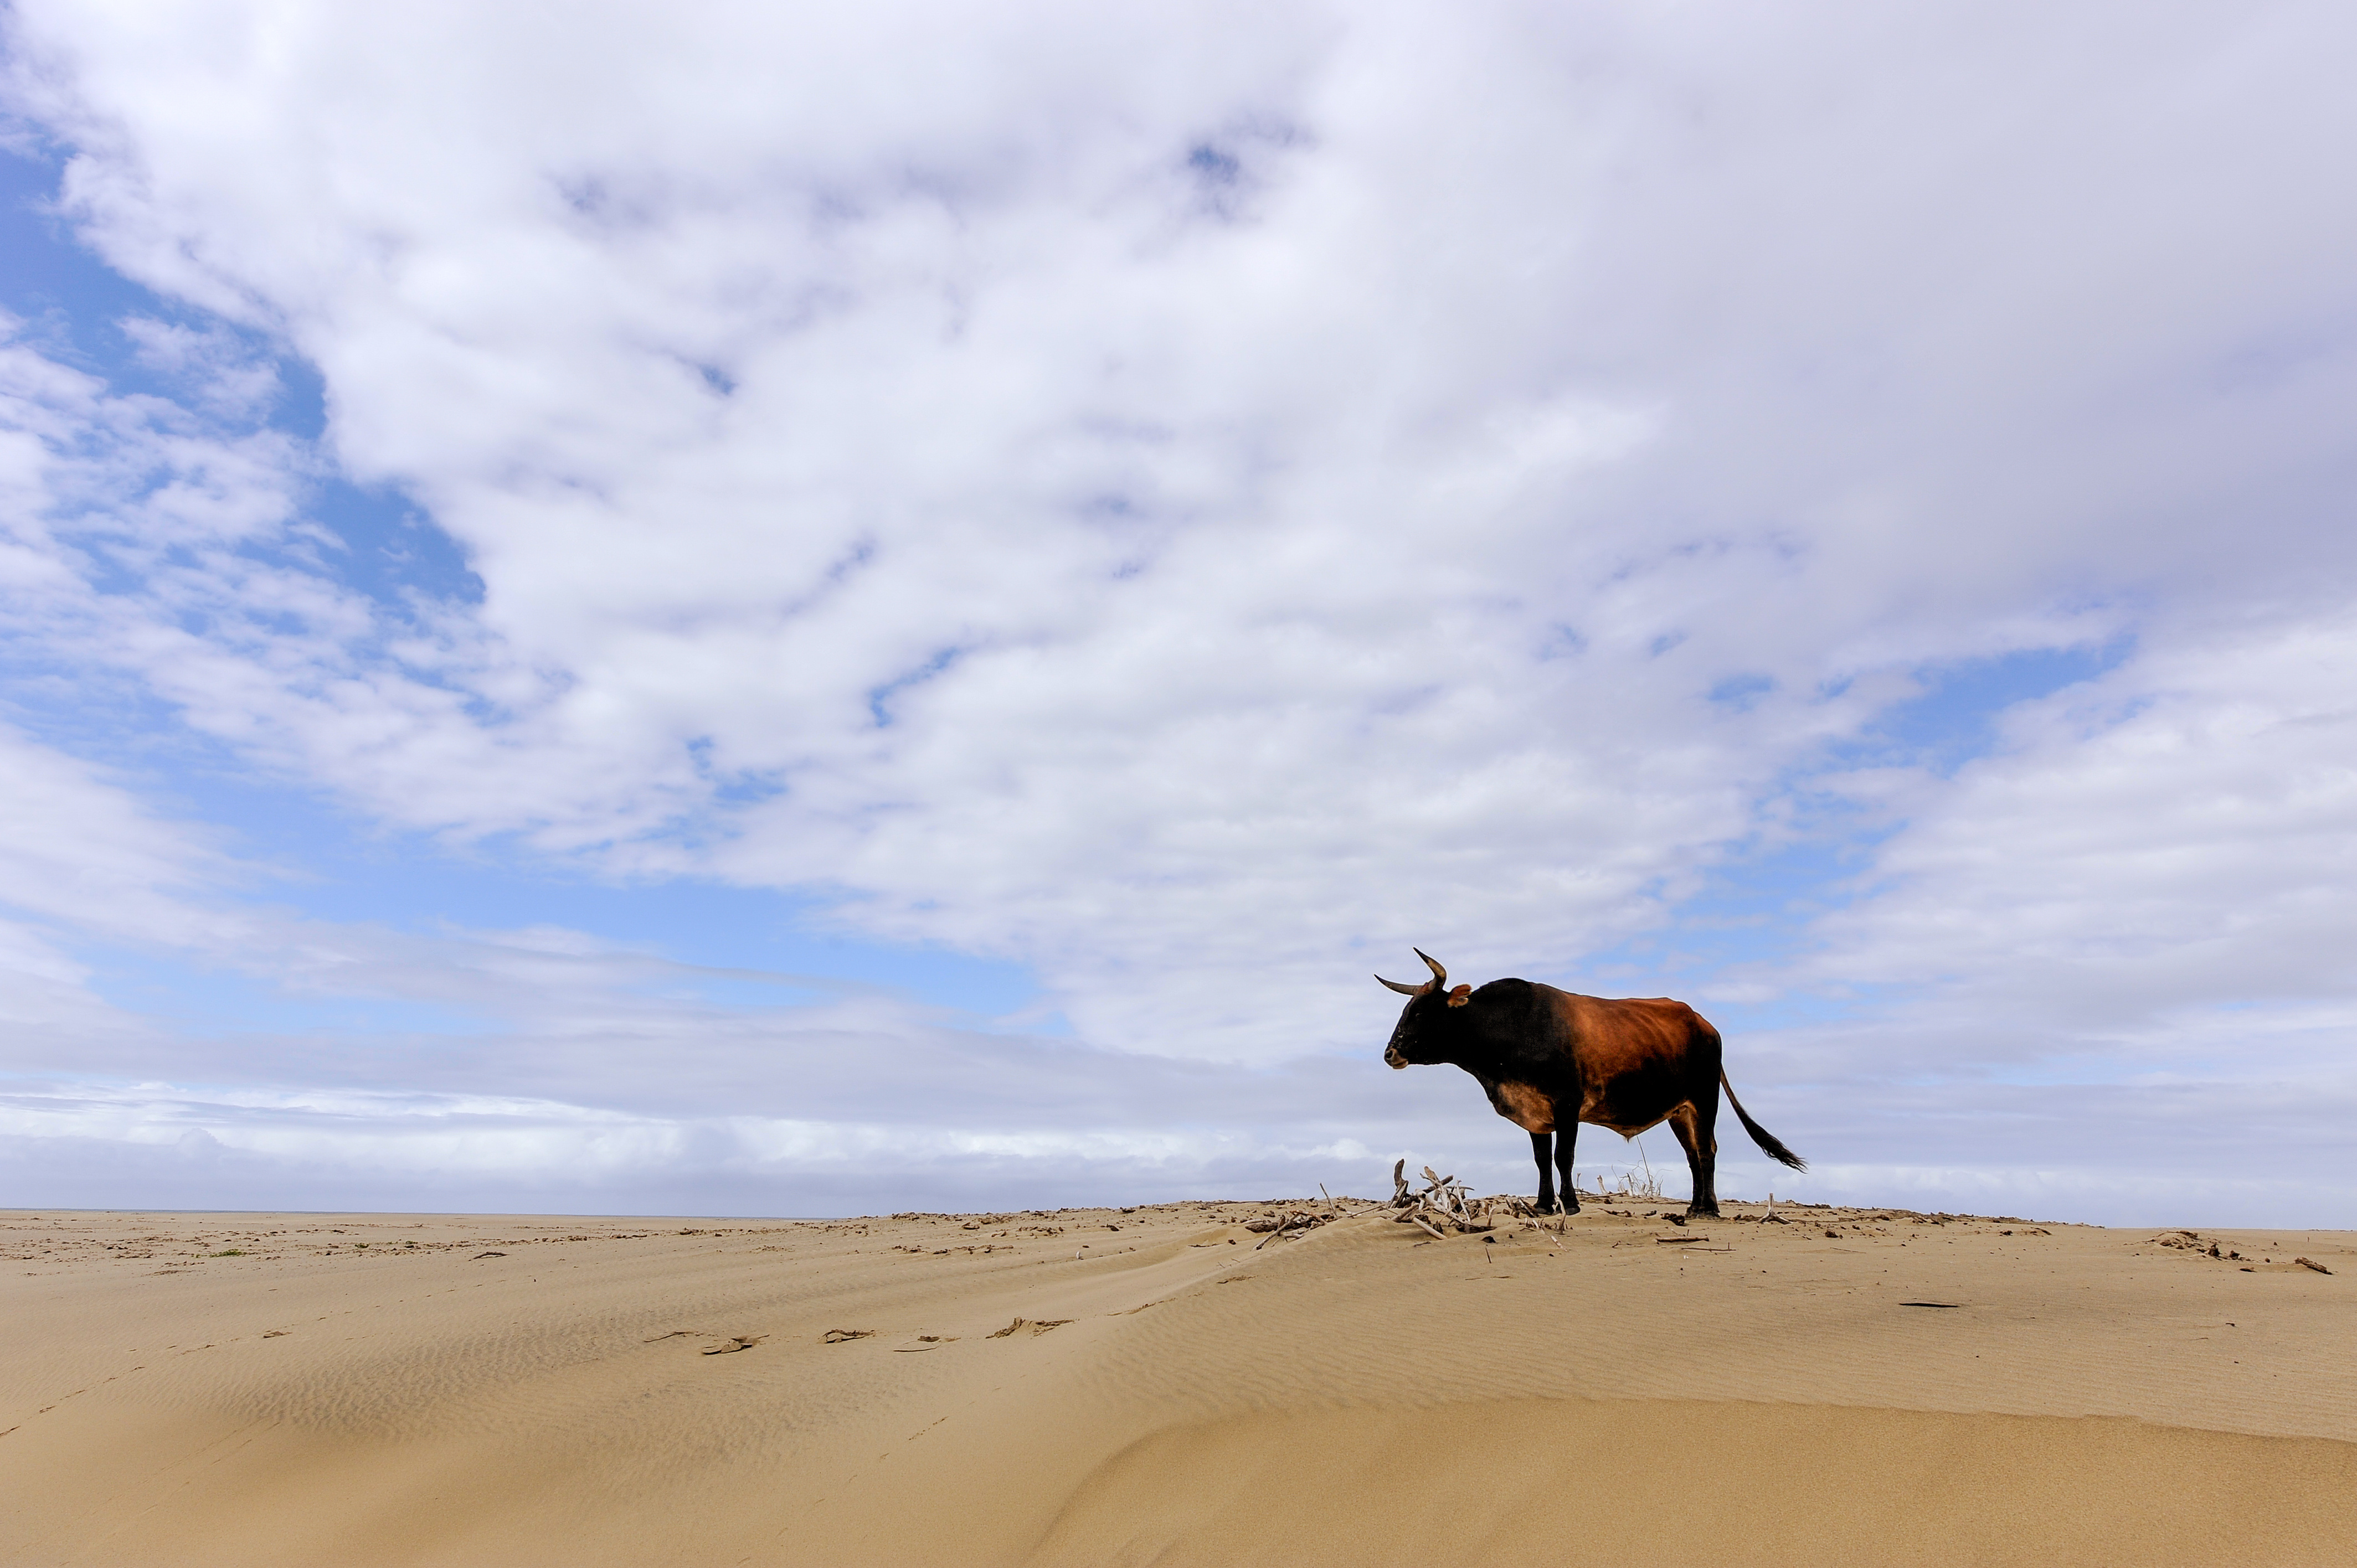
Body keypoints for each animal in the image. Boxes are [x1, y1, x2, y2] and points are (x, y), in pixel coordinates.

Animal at [1377, 949, 1804, 1216]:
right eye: (1407, 1009)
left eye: (1421, 1012)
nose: (1390, 1054)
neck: (1513, 1030)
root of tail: (1705, 1025)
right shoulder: (1536, 1115)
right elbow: (1541, 1159)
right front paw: (1544, 1206)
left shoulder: (1568, 1106)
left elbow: (1562, 1157)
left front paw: (1570, 1204)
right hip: (1679, 1111)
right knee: (1693, 1154)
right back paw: (1695, 1206)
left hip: (1704, 1099)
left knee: (1708, 1151)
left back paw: (1710, 1210)